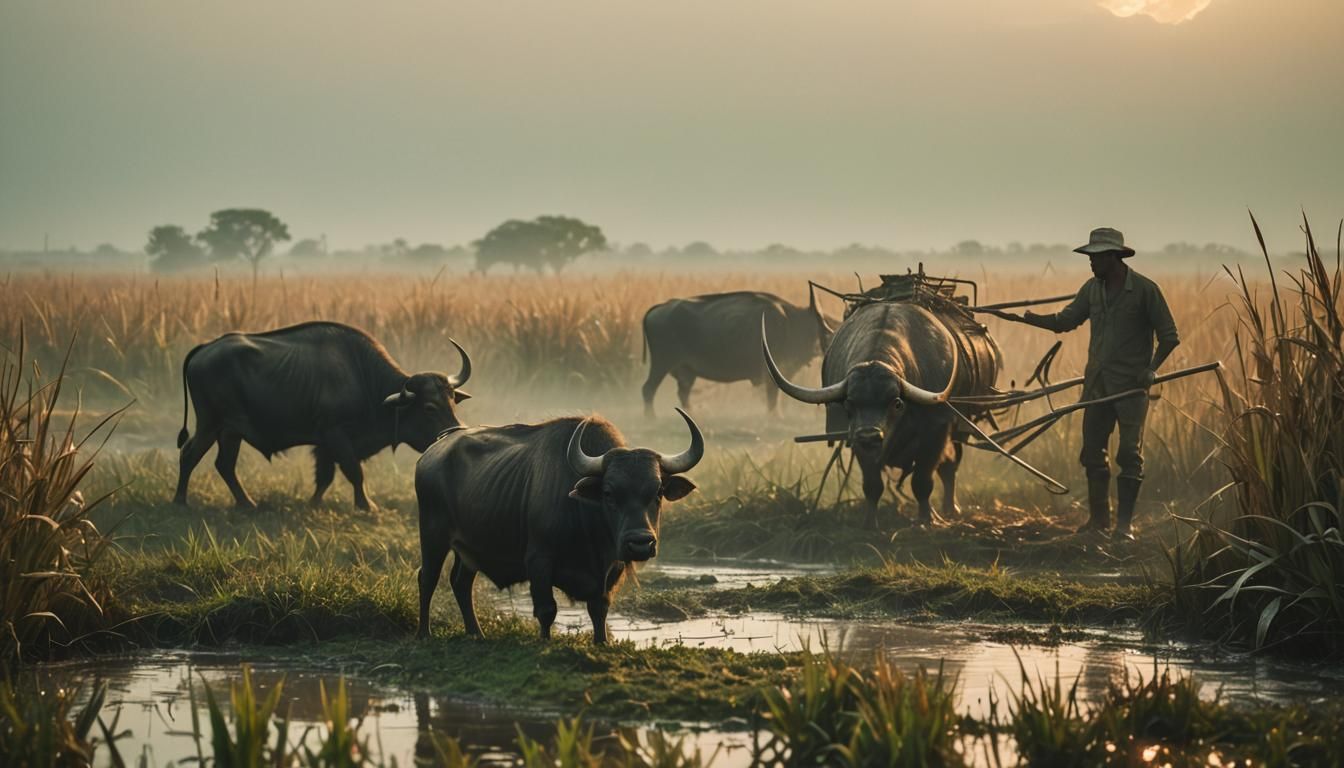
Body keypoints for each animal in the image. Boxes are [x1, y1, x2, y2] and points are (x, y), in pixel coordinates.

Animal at [174, 321, 473, 511]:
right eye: (429, 407)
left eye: (452, 402)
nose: (454, 433)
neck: (365, 378)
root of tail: (205, 348)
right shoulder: (335, 435)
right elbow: (354, 471)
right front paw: (367, 506)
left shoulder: (325, 445)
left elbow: (325, 477)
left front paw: (314, 503)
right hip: (210, 424)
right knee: (190, 455)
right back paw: (180, 501)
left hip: (230, 432)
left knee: (224, 465)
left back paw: (246, 503)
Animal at [413, 409, 703, 644]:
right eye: (609, 493)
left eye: (657, 492)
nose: (640, 544)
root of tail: (432, 451)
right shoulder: (539, 561)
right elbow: (546, 609)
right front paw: (545, 641)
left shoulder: (611, 568)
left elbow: (600, 608)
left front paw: (601, 642)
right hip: (433, 534)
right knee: (427, 578)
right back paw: (424, 633)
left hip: (470, 549)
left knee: (461, 583)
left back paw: (476, 632)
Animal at [641, 291, 832, 417]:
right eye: (823, 328)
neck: (791, 321)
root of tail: (659, 308)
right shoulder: (772, 371)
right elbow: (772, 395)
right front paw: (776, 416)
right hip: (661, 364)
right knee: (648, 389)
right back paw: (652, 418)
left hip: (686, 371)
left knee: (683, 392)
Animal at [764, 302, 1002, 528]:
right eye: (850, 403)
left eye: (896, 403)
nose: (870, 435)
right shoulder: (857, 438)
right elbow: (872, 485)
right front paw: (870, 523)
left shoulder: (937, 430)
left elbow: (923, 481)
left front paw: (927, 519)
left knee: (950, 466)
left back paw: (951, 509)